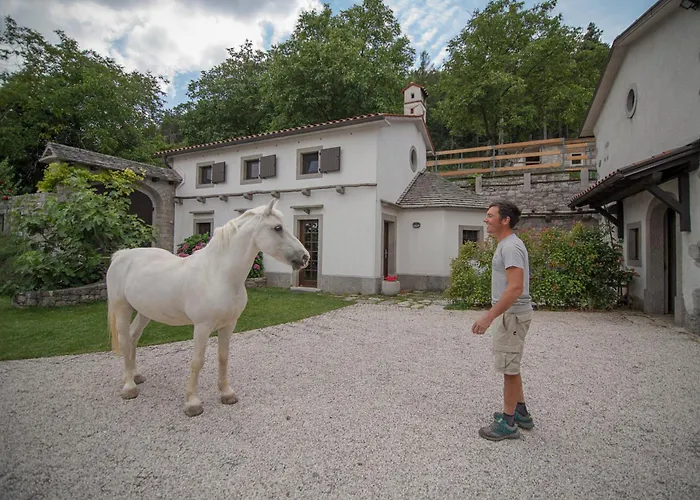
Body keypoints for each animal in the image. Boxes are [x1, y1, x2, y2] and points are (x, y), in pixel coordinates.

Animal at [106, 199, 310, 417]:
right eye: (277, 228)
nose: (305, 257)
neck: (219, 275)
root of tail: (121, 256)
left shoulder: (229, 325)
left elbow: (223, 357)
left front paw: (227, 394)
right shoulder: (202, 327)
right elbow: (197, 361)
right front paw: (192, 403)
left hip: (144, 312)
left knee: (133, 337)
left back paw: (134, 376)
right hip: (122, 308)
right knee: (125, 341)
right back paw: (129, 387)